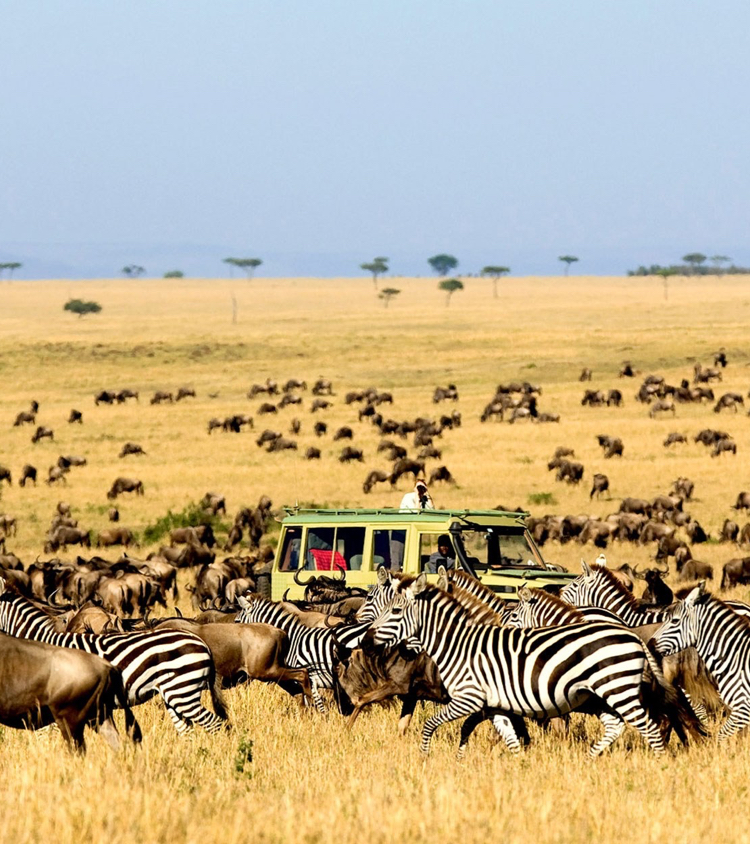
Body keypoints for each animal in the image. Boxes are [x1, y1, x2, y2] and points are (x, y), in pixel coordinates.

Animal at [372, 572, 688, 760]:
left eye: (395, 610)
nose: (369, 637)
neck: (458, 644)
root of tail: (633, 635)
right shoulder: (495, 705)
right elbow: (509, 738)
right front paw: (518, 767)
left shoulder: (469, 699)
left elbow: (430, 725)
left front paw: (424, 758)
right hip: (600, 694)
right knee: (617, 725)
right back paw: (589, 760)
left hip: (617, 688)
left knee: (650, 727)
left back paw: (659, 765)